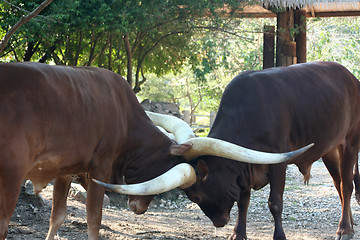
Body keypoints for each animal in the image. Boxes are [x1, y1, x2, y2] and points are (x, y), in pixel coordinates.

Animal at [0, 62, 310, 240]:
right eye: (193, 195)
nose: (137, 208)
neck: (124, 118)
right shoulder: (98, 169)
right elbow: (93, 221)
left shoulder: (66, 171)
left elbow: (58, 216)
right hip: (11, 176)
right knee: (4, 222)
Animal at [183, 62, 360, 240]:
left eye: (196, 196)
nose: (219, 222)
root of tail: (352, 78)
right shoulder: (246, 164)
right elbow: (243, 202)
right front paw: (238, 233)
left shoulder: (278, 160)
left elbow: (275, 202)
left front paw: (279, 235)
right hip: (330, 150)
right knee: (338, 183)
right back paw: (349, 223)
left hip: (350, 142)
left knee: (346, 185)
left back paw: (345, 229)